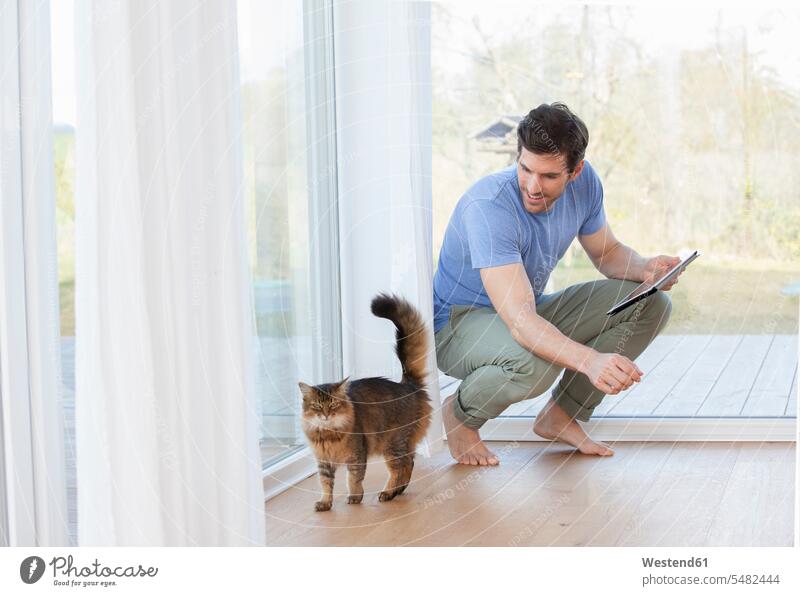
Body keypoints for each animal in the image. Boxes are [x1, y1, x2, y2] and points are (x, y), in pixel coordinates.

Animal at [296, 294, 432, 512]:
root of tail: (407, 385)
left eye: (333, 405)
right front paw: (325, 503)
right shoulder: (323, 462)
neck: (328, 434)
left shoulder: (357, 456)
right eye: (317, 406)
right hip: (400, 444)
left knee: (401, 467)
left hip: (392, 444)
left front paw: (354, 497)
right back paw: (397, 491)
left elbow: (353, 480)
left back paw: (388, 493)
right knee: (409, 463)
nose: (325, 415)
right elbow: (326, 484)